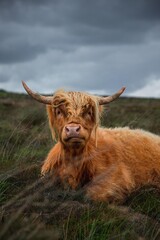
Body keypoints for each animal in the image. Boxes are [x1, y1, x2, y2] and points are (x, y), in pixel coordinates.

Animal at [22, 81, 160, 202]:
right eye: (59, 111)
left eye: (88, 112)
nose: (73, 129)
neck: (73, 161)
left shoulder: (115, 178)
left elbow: (92, 195)